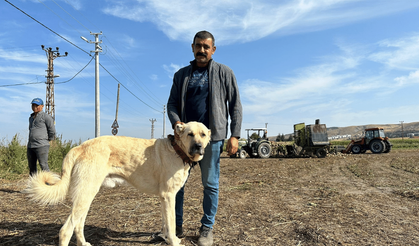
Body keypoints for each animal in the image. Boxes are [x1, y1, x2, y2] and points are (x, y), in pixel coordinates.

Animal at [24, 121, 212, 246]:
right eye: (190, 134)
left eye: (203, 134)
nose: (198, 146)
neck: (177, 150)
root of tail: (80, 147)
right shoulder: (168, 196)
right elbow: (171, 224)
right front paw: (173, 240)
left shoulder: (164, 198)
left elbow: (166, 222)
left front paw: (165, 237)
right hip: (85, 195)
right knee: (65, 231)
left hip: (86, 196)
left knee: (78, 225)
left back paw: (83, 243)